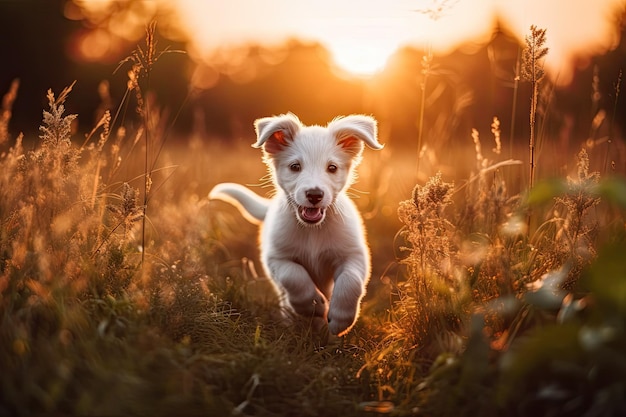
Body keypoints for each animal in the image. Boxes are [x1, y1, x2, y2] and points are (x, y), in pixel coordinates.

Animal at [211, 113, 380, 334]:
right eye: (295, 167)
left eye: (332, 168)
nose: (314, 194)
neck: (312, 230)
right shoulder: (276, 258)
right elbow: (294, 276)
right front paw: (314, 304)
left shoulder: (354, 255)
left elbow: (350, 282)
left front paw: (340, 319)